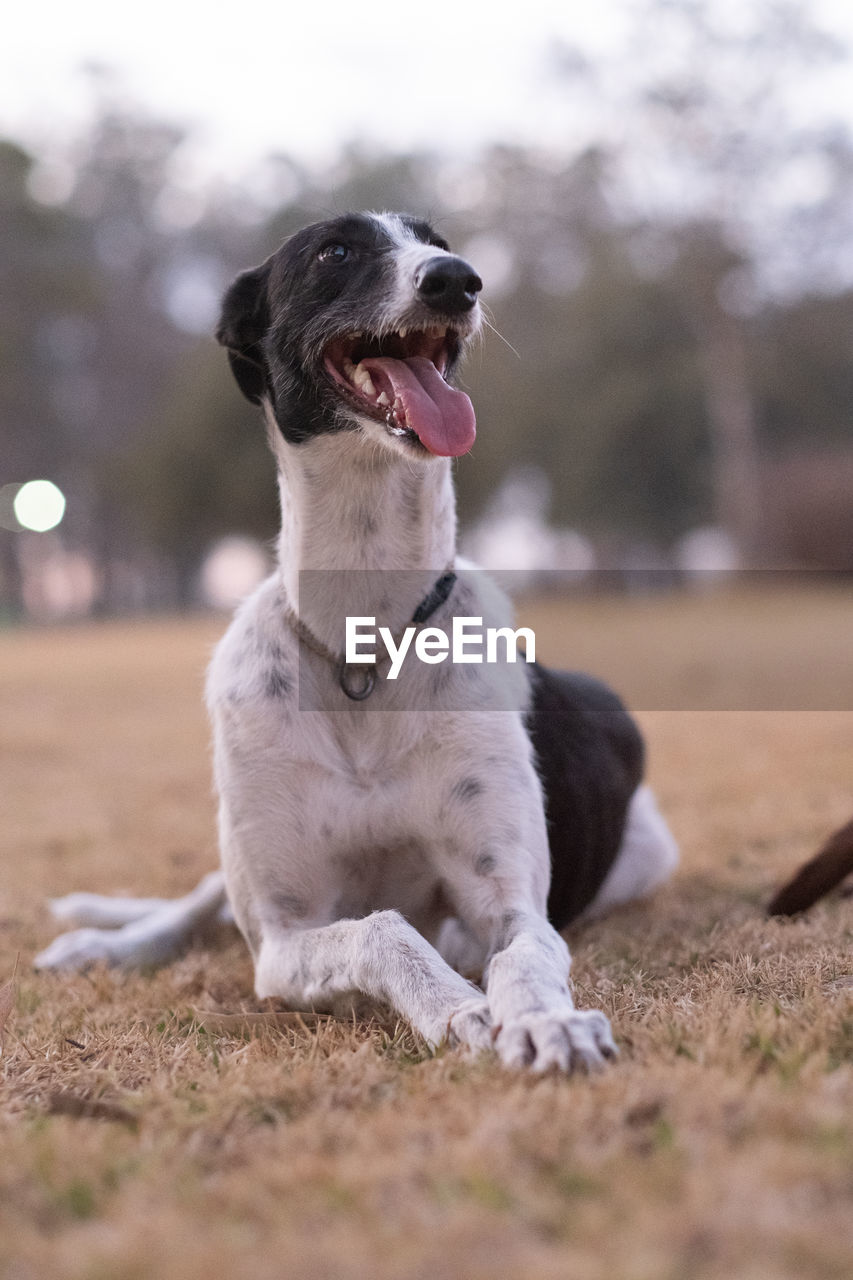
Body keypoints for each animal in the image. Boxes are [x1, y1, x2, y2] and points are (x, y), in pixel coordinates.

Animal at [36, 212, 676, 1070]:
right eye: (333, 251)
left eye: (439, 240)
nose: (456, 280)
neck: (364, 646)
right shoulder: (282, 937)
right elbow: (380, 929)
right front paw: (456, 1008)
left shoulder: (506, 903)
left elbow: (519, 955)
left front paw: (545, 1022)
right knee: (202, 897)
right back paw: (106, 942)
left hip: (643, 853)